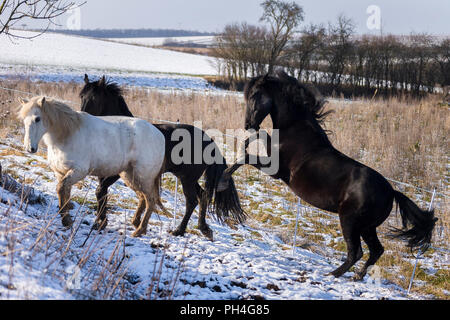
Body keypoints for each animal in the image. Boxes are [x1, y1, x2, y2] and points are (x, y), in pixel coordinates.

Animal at [17, 96, 166, 236]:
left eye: (37, 119)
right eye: (24, 120)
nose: (29, 148)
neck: (67, 134)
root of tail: (160, 135)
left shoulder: (78, 172)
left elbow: (61, 189)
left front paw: (66, 220)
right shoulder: (60, 173)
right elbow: (64, 193)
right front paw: (67, 221)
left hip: (144, 177)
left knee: (150, 200)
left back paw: (140, 230)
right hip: (130, 176)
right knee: (142, 198)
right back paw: (136, 223)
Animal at [79, 75, 244, 240]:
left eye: (94, 98)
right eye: (81, 96)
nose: (82, 118)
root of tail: (209, 140)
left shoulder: (118, 174)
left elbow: (101, 191)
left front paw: (102, 222)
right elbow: (102, 193)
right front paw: (102, 221)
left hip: (187, 179)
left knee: (191, 201)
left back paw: (179, 230)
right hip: (186, 176)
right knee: (202, 196)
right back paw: (204, 229)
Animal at [218, 70, 436, 280]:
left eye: (254, 95)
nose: (248, 124)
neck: (295, 130)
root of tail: (391, 192)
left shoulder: (277, 171)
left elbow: (247, 156)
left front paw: (223, 180)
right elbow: (259, 140)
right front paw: (244, 144)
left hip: (350, 221)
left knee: (356, 252)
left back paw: (332, 274)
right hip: (367, 227)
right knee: (376, 250)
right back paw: (357, 276)